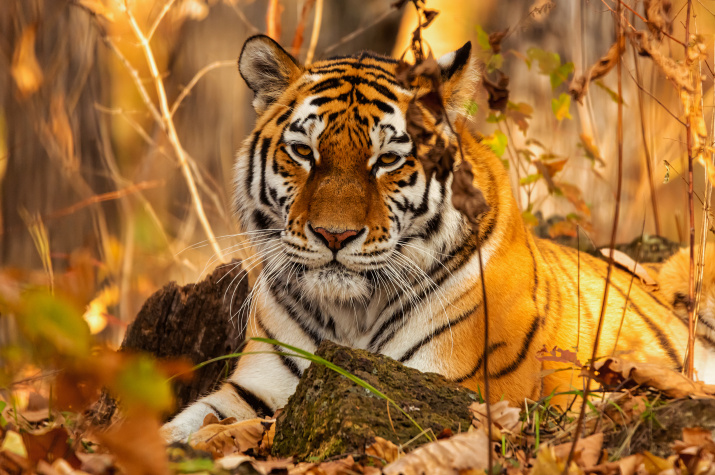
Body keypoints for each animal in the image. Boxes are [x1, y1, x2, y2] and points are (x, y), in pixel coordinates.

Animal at [161, 35, 715, 444]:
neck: (350, 316)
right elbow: (186, 424)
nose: (334, 234)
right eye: (303, 152)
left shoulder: (450, 384)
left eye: (388, 160)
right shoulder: (256, 385)